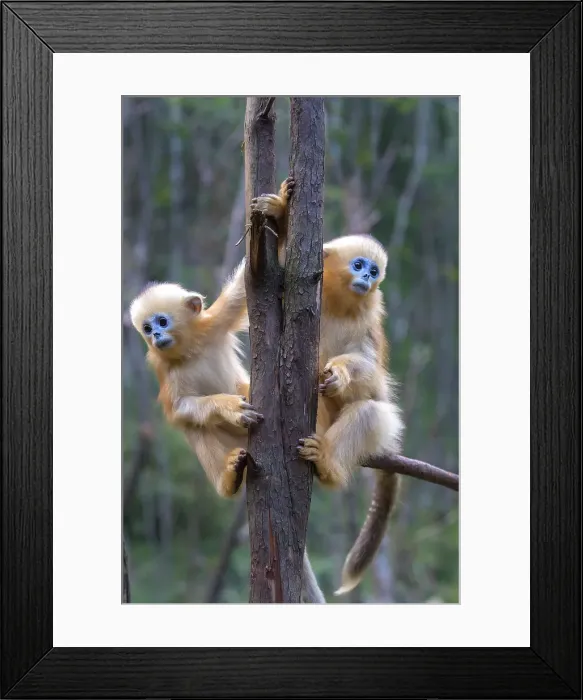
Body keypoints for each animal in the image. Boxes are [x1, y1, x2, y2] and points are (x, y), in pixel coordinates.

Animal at [251, 180, 405, 595]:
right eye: (358, 265)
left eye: (374, 270)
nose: (367, 279)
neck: (338, 303)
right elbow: (279, 273)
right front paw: (281, 213)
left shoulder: (368, 324)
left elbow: (368, 371)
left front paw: (339, 374)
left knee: (371, 410)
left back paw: (327, 462)